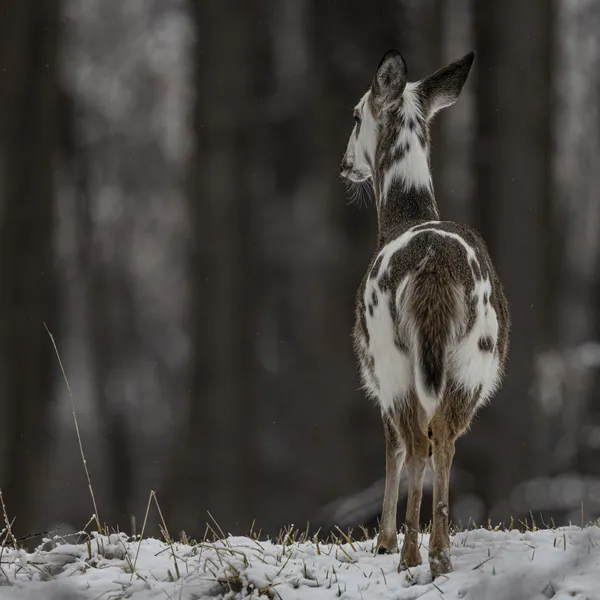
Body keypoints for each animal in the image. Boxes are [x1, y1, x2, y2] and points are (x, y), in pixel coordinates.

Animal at [340, 50, 508, 576]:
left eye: (355, 115)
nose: (345, 165)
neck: (404, 214)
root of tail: (433, 269)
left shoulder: (374, 372)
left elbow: (391, 448)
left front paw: (383, 541)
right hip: (474, 356)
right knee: (444, 439)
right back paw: (439, 552)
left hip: (390, 353)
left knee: (413, 442)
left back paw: (410, 551)